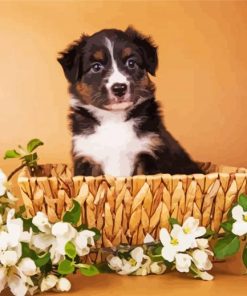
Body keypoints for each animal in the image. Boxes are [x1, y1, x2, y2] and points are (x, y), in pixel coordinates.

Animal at [58, 27, 203, 176]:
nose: (119, 88)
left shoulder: (148, 152)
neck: (114, 119)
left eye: (131, 63)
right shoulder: (86, 156)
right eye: (96, 67)